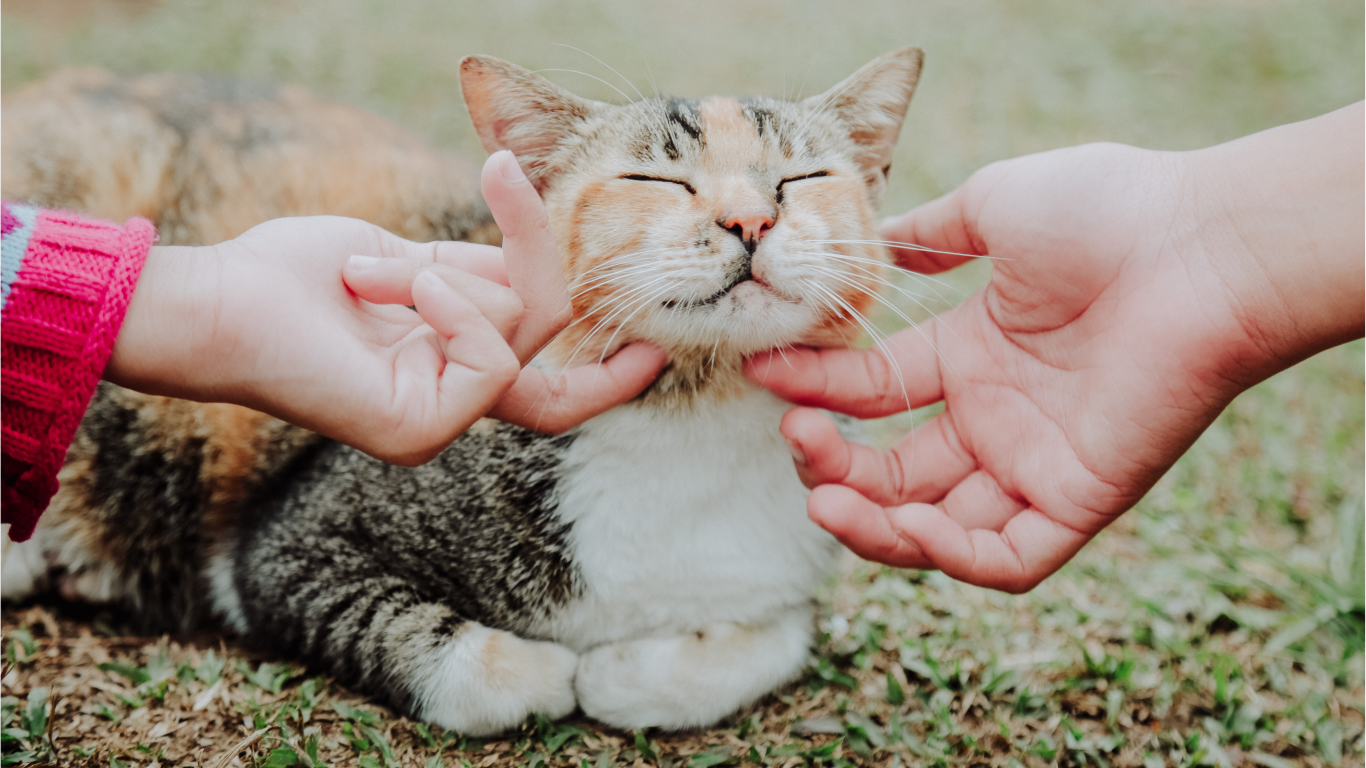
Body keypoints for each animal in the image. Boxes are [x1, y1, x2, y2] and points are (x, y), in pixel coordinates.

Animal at [0, 46, 923, 727]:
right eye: (655, 182)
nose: (751, 219)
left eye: (801, 181)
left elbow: (783, 636)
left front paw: (630, 673)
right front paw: (557, 673)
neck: (697, 411)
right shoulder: (281, 544)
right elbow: (444, 653)